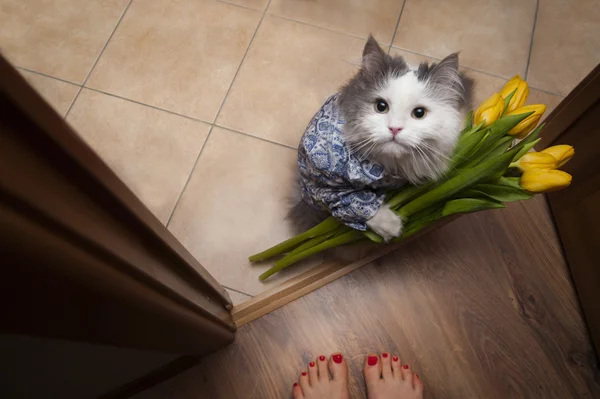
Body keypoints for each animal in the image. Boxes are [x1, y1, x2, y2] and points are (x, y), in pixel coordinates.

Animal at [292, 36, 474, 244]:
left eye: (419, 113)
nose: (395, 128)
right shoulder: (321, 185)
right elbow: (355, 200)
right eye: (381, 106)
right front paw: (391, 226)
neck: (388, 167)